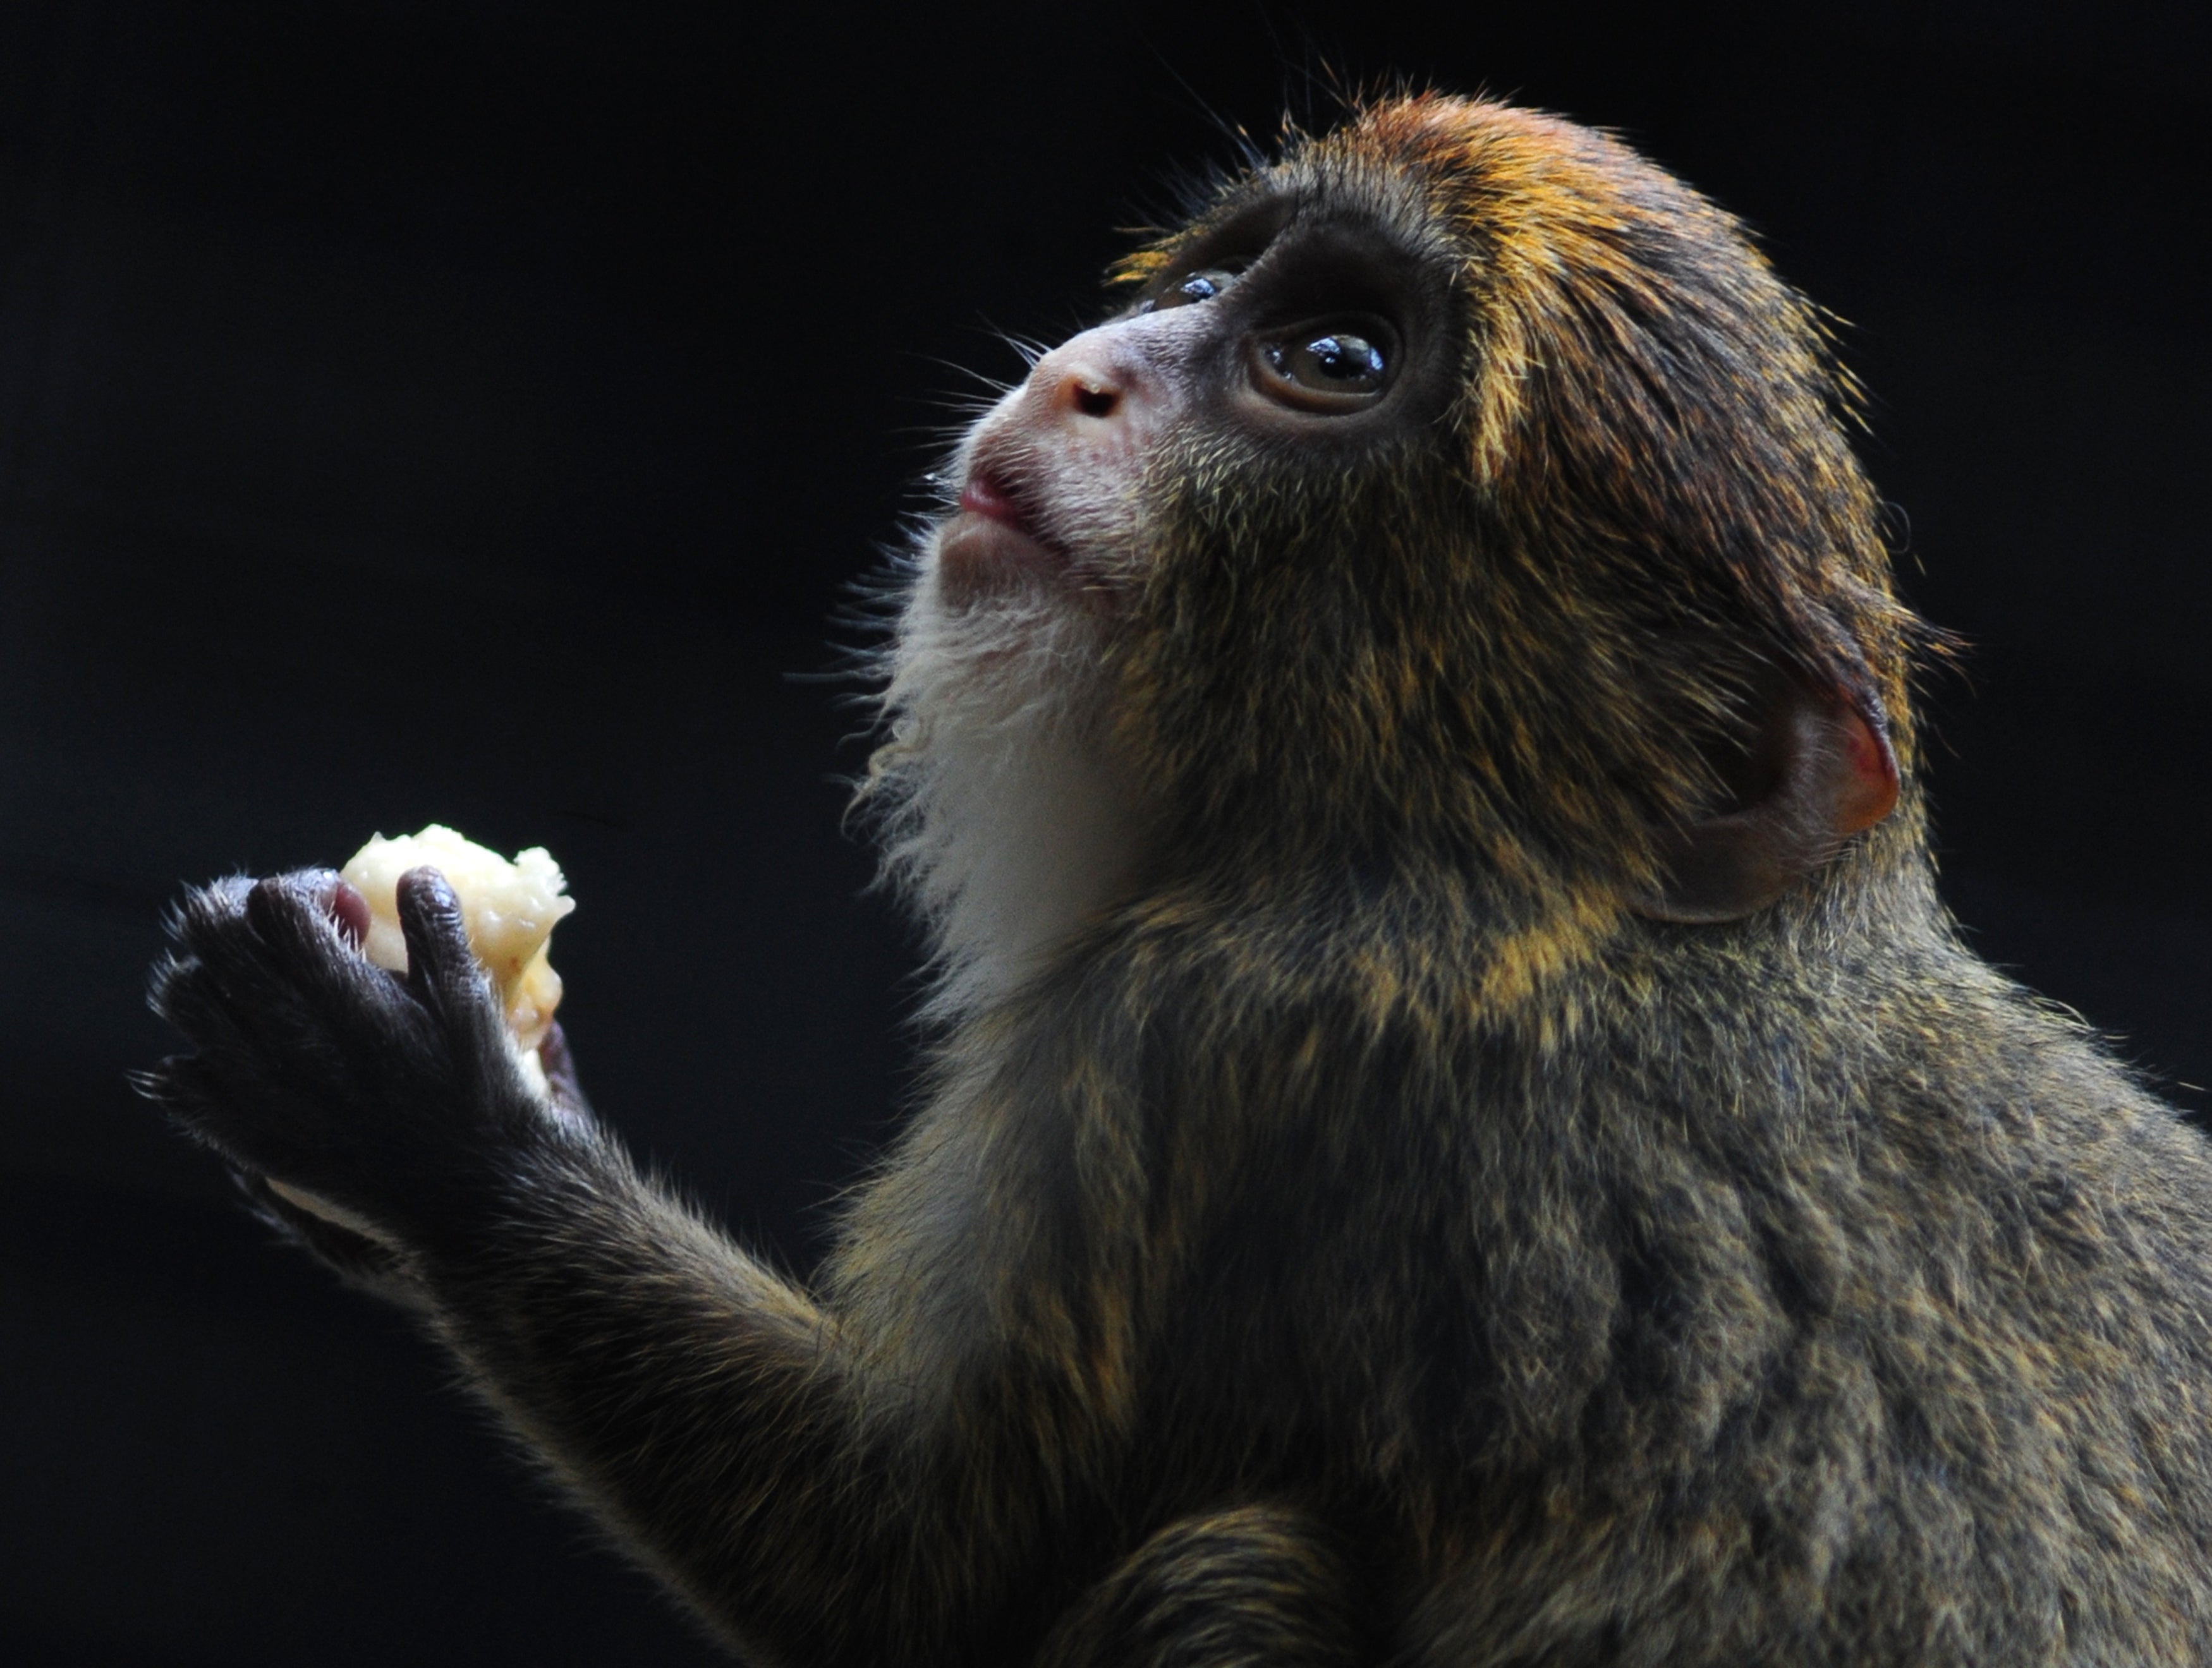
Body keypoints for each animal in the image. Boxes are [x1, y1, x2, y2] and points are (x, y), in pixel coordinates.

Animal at [142, 94, 2212, 1663]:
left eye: (1329, 361)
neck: (1573, 900)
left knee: (1229, 1561)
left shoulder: (1227, 1031)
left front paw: (436, 1131)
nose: (1079, 375)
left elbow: (899, 1565)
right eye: (1214, 285)